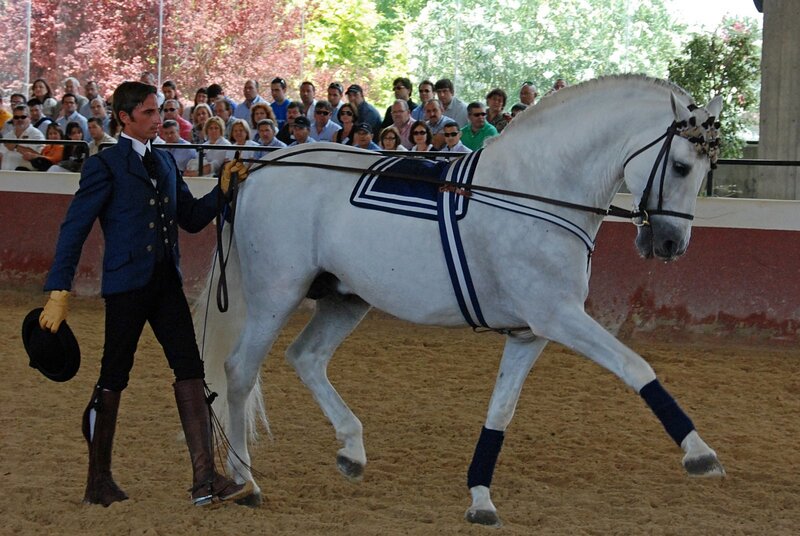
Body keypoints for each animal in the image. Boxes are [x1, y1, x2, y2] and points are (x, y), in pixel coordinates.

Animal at [195, 75, 724, 526]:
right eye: (680, 166)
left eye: (707, 169)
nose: (672, 244)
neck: (535, 191)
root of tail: (259, 169)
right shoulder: (558, 317)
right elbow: (636, 367)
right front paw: (700, 453)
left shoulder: (529, 333)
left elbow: (500, 412)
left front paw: (481, 498)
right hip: (276, 294)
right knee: (241, 371)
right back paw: (246, 480)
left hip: (346, 298)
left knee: (305, 357)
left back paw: (351, 451)